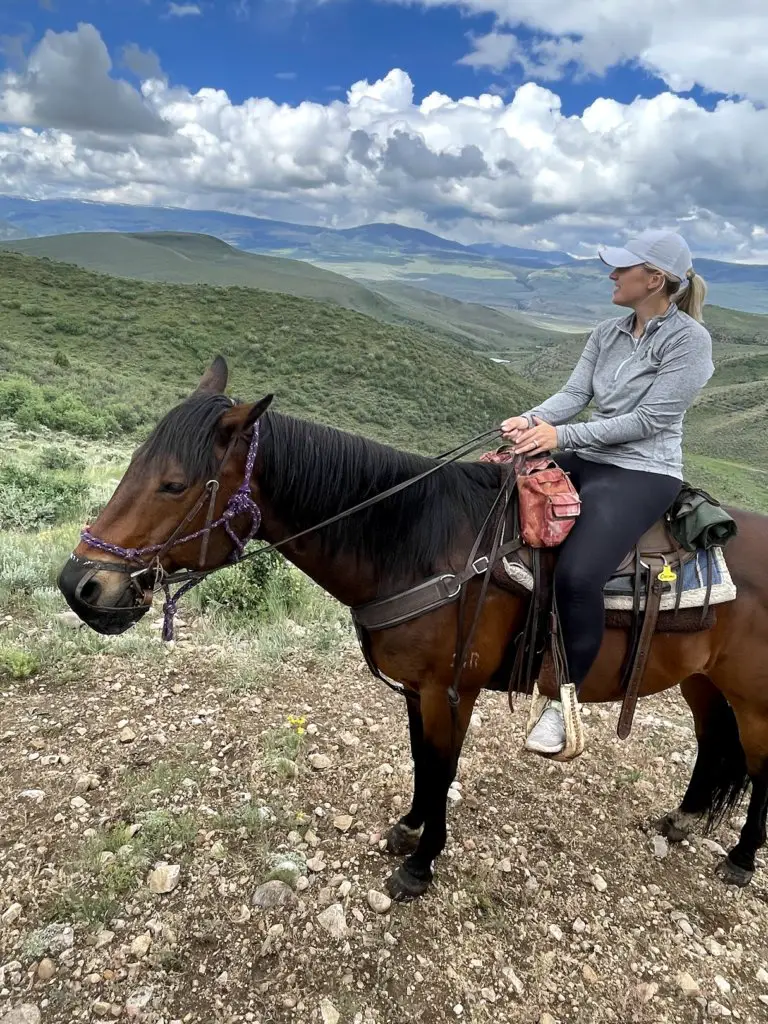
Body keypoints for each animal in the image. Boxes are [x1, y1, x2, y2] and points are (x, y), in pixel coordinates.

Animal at [57, 356, 768, 901]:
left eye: (175, 485)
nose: (80, 587)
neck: (415, 543)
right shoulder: (414, 688)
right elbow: (423, 762)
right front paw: (408, 827)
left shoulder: (451, 689)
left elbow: (444, 765)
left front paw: (420, 866)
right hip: (702, 679)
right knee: (713, 741)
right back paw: (685, 818)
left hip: (753, 695)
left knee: (760, 766)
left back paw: (740, 859)